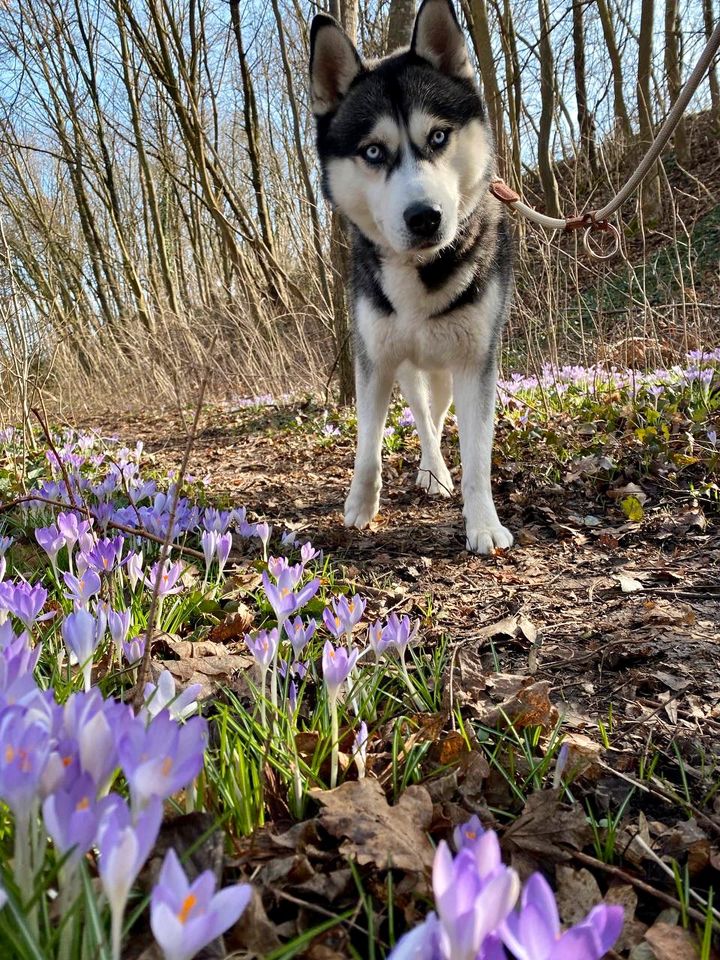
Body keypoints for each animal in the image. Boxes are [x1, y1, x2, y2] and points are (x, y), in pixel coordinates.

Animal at [310, 0, 512, 556]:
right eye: (374, 152)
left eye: (438, 136)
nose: (425, 218)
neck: (420, 272)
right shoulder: (374, 359)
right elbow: (367, 446)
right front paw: (360, 507)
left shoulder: (475, 362)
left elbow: (478, 457)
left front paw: (482, 523)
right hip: (407, 368)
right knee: (422, 416)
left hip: (444, 368)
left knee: (437, 418)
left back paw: (435, 472)